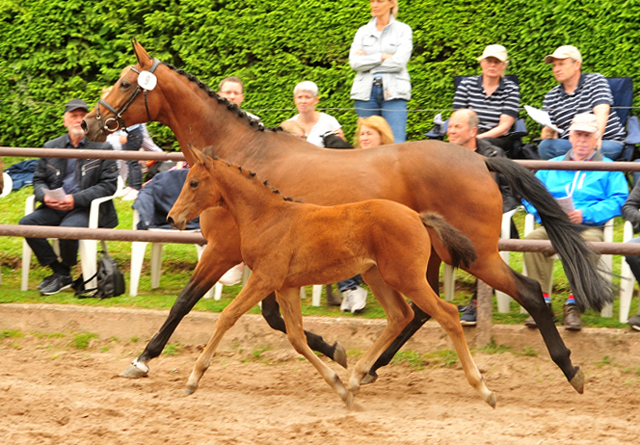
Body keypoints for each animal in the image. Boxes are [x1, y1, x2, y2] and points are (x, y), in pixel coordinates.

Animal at [166, 144, 496, 408]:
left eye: (193, 182)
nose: (172, 217)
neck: (267, 216)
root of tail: (417, 216)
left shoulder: (265, 279)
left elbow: (227, 317)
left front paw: (193, 378)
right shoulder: (286, 286)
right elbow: (297, 337)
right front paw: (339, 386)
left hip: (407, 278)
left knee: (446, 314)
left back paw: (483, 388)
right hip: (378, 276)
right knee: (400, 315)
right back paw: (357, 377)